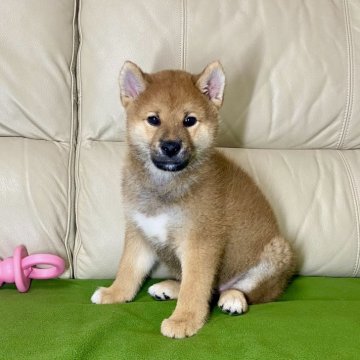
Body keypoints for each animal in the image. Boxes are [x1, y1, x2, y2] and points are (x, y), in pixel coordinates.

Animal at [91, 60, 296, 338]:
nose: (170, 146)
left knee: (245, 292)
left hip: (274, 255)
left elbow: (194, 287)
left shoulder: (200, 243)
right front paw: (115, 293)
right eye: (153, 120)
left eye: (189, 121)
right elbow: (129, 269)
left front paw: (183, 320)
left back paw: (233, 298)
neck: (166, 184)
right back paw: (168, 287)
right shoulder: (140, 233)